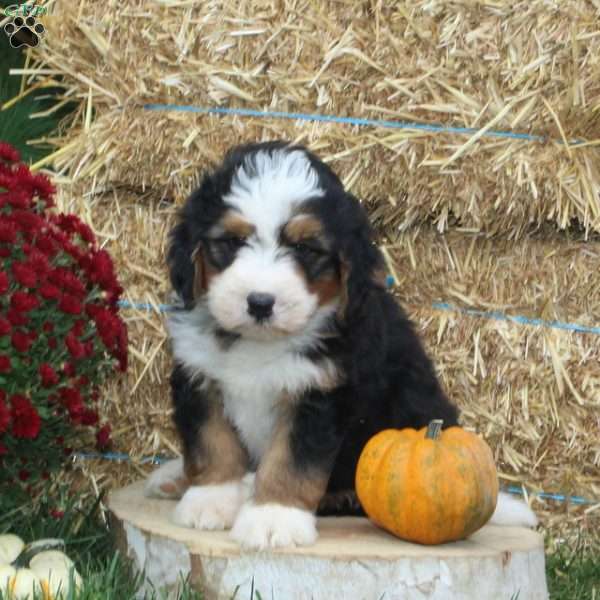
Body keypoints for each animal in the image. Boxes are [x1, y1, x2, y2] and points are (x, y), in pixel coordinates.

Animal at [146, 141, 540, 548]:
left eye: (306, 249)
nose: (260, 302)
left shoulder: (320, 392)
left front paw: (273, 519)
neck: (261, 343)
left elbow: (291, 462)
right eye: (232, 241)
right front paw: (210, 501)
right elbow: (213, 443)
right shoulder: (201, 375)